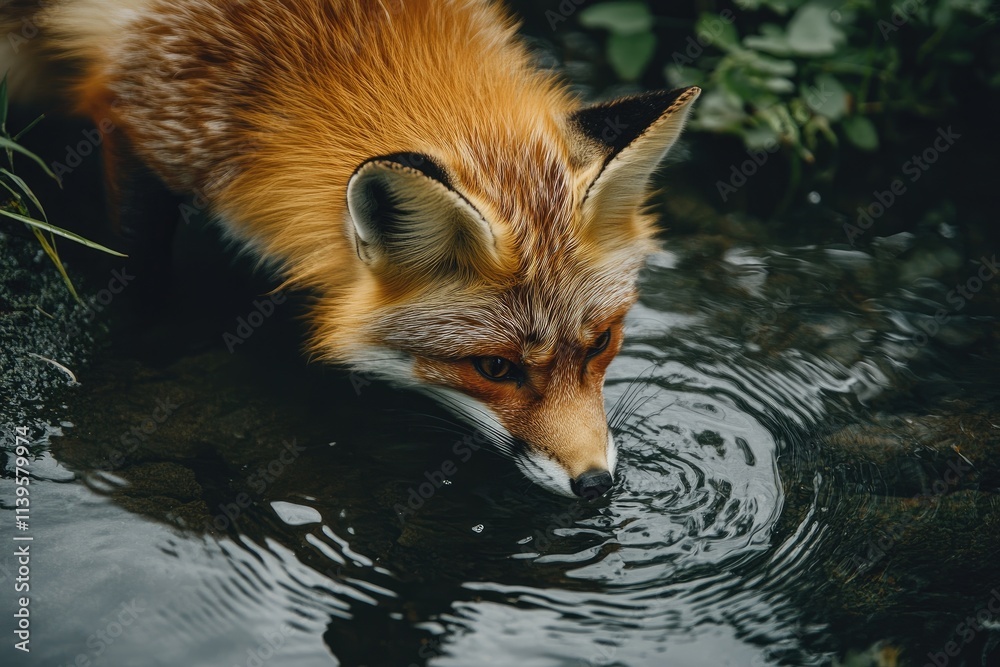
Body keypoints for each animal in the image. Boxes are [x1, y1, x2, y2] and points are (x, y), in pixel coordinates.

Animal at [2, 0, 699, 498]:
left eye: (601, 341)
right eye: (493, 368)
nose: (596, 486)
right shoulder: (132, 117)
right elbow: (139, 272)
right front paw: (142, 341)